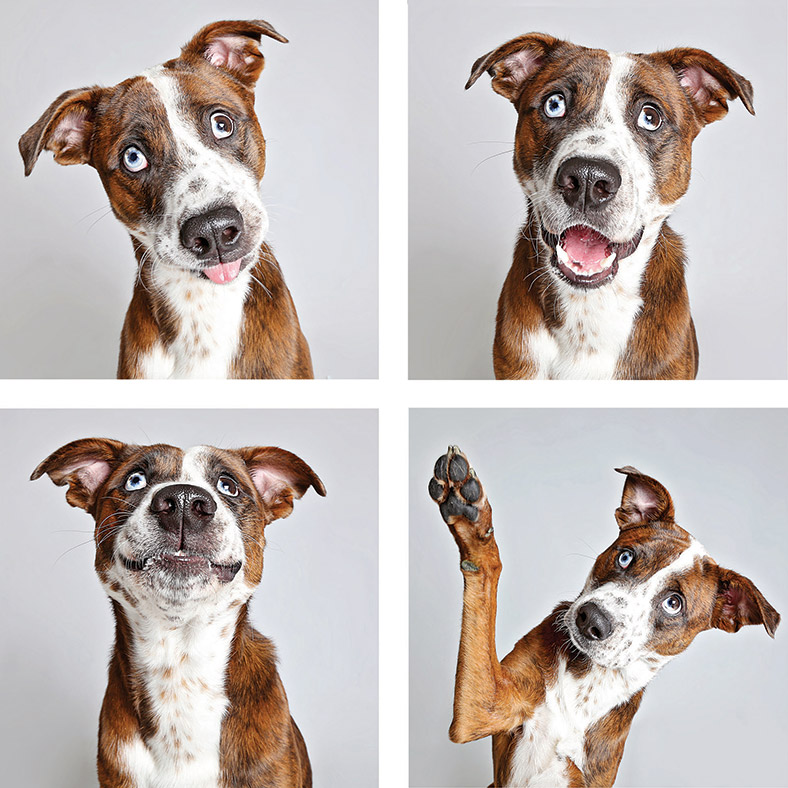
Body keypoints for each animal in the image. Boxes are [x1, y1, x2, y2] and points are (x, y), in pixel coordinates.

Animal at [428, 446, 780, 784]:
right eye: (625, 556)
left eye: (673, 604)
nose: (591, 619)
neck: (588, 681)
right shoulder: (484, 710)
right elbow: (488, 570)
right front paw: (468, 512)